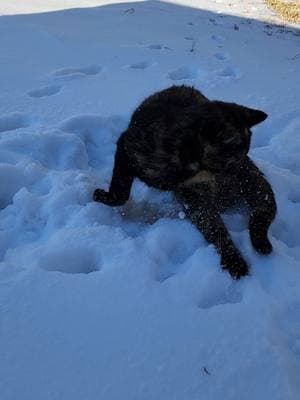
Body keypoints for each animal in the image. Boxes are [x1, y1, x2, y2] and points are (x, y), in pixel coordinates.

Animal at [94, 85, 276, 278]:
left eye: (246, 152)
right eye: (233, 157)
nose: (245, 168)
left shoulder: (196, 200)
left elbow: (217, 230)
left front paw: (233, 261)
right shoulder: (126, 149)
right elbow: (121, 192)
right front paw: (103, 197)